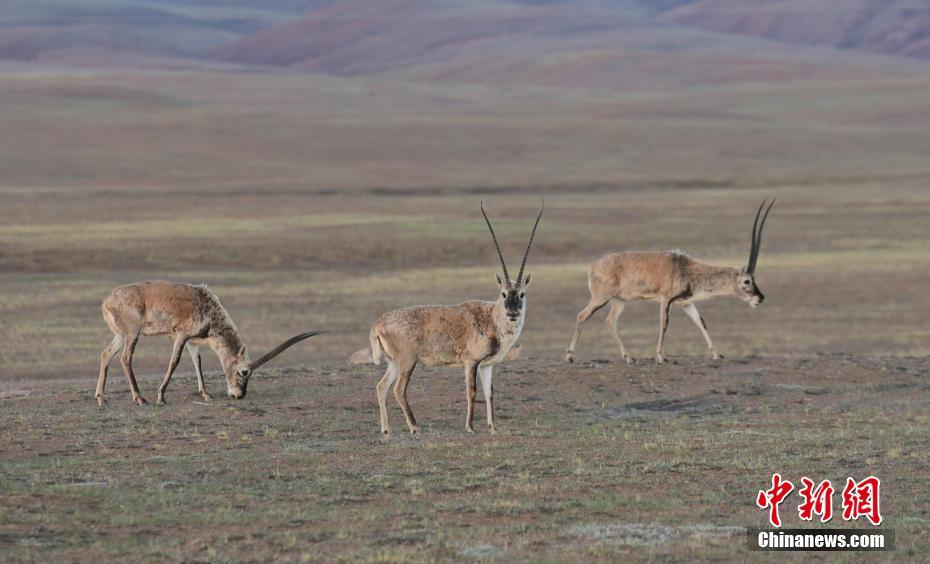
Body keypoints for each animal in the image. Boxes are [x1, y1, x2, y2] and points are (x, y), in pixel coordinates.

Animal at [96, 280, 324, 406]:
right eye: (244, 372)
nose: (238, 395)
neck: (208, 306)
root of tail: (106, 301)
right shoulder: (180, 336)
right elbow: (175, 362)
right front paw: (161, 397)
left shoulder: (192, 341)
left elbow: (197, 363)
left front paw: (206, 394)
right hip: (133, 334)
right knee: (125, 358)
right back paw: (140, 398)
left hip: (121, 336)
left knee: (106, 354)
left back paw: (101, 398)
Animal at [366, 201, 543, 435]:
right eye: (504, 293)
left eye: (522, 294)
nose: (513, 313)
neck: (492, 318)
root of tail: (378, 324)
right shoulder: (471, 363)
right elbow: (472, 392)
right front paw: (470, 427)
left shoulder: (487, 366)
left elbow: (489, 393)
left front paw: (492, 427)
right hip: (407, 361)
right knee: (398, 389)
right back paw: (414, 427)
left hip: (394, 363)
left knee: (381, 386)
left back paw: (386, 429)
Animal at [565, 199, 775, 365]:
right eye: (747, 281)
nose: (760, 298)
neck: (686, 268)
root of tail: (592, 267)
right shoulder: (666, 300)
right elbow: (664, 324)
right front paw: (660, 357)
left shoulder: (685, 303)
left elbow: (701, 322)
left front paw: (717, 354)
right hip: (601, 298)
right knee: (582, 316)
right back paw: (570, 356)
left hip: (619, 301)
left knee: (610, 322)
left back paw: (629, 357)